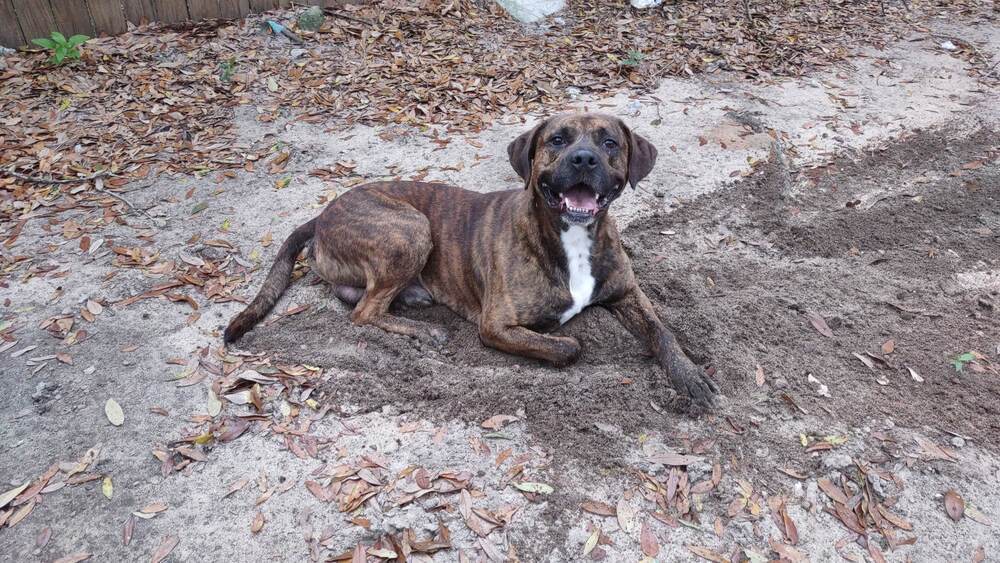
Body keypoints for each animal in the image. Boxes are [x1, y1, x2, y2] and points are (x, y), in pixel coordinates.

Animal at [227, 112, 720, 408]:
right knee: (364, 311)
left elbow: (662, 331)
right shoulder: (496, 324)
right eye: (557, 140)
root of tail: (323, 212)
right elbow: (569, 346)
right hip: (410, 228)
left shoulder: (627, 293)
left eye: (610, 143)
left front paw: (691, 375)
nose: (583, 158)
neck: (572, 238)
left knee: (360, 299)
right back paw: (422, 329)